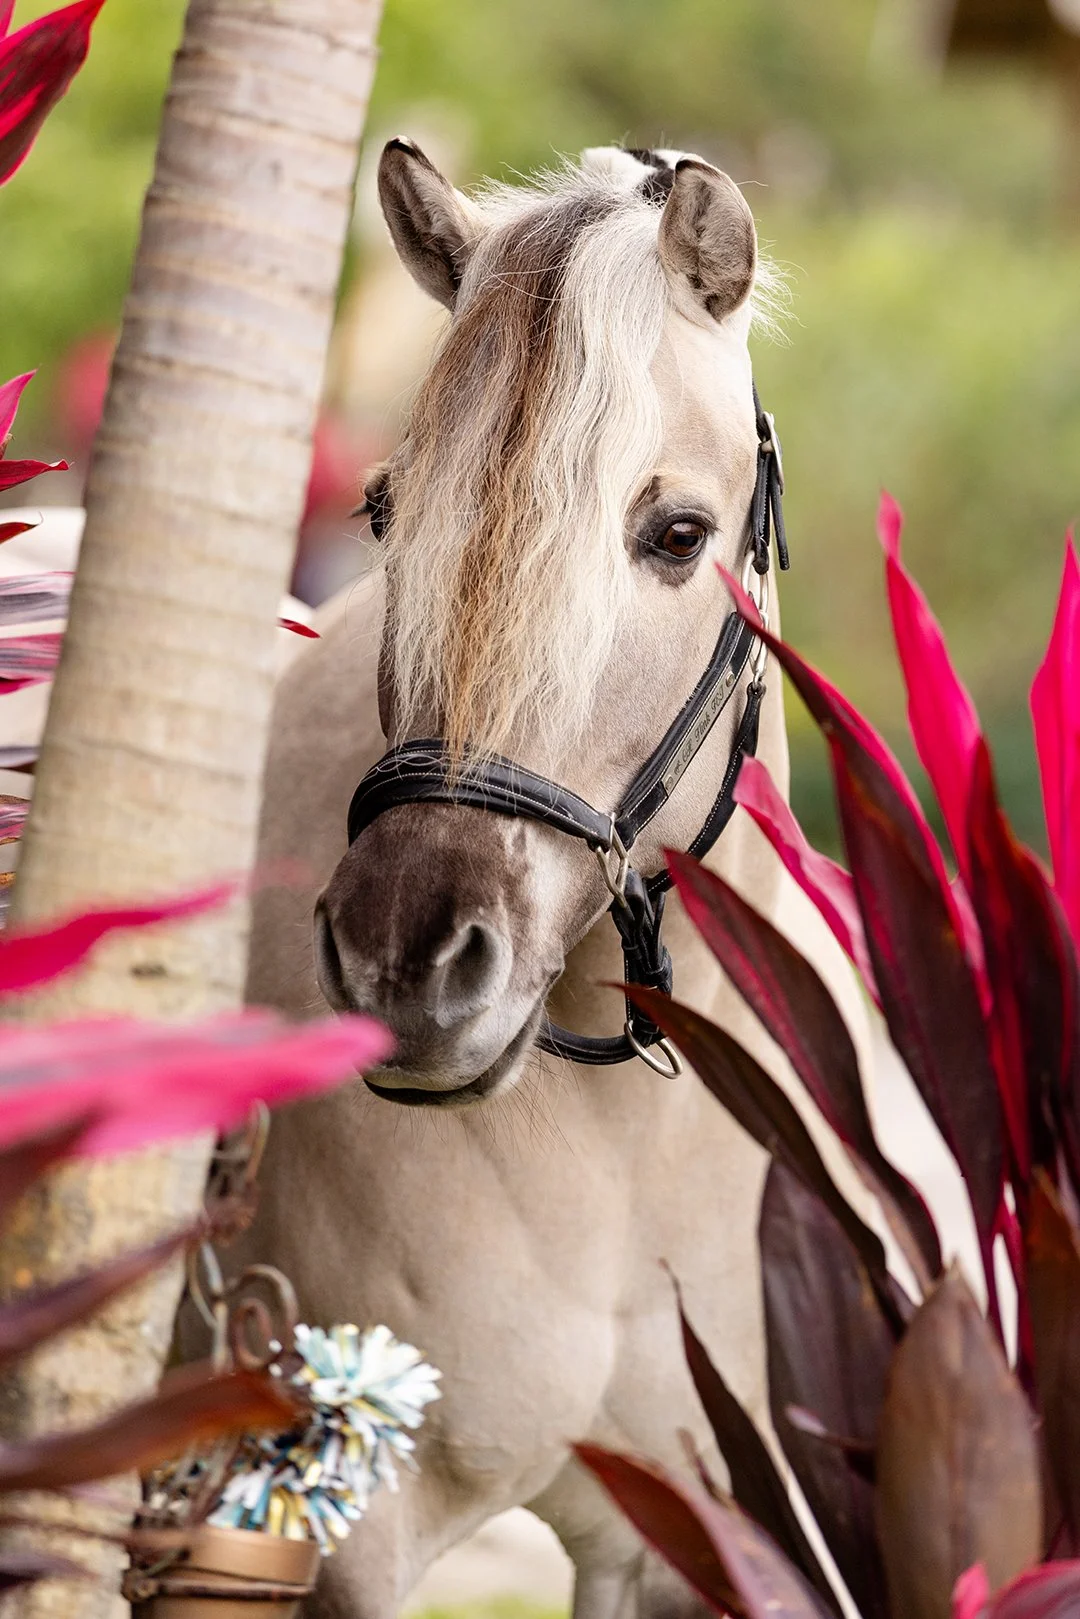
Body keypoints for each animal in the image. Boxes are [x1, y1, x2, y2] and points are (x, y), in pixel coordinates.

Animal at [243, 141, 873, 1619]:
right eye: (385, 508)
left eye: (679, 533)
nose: (408, 960)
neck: (617, 1152)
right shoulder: (344, 1520)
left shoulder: (683, 1536)